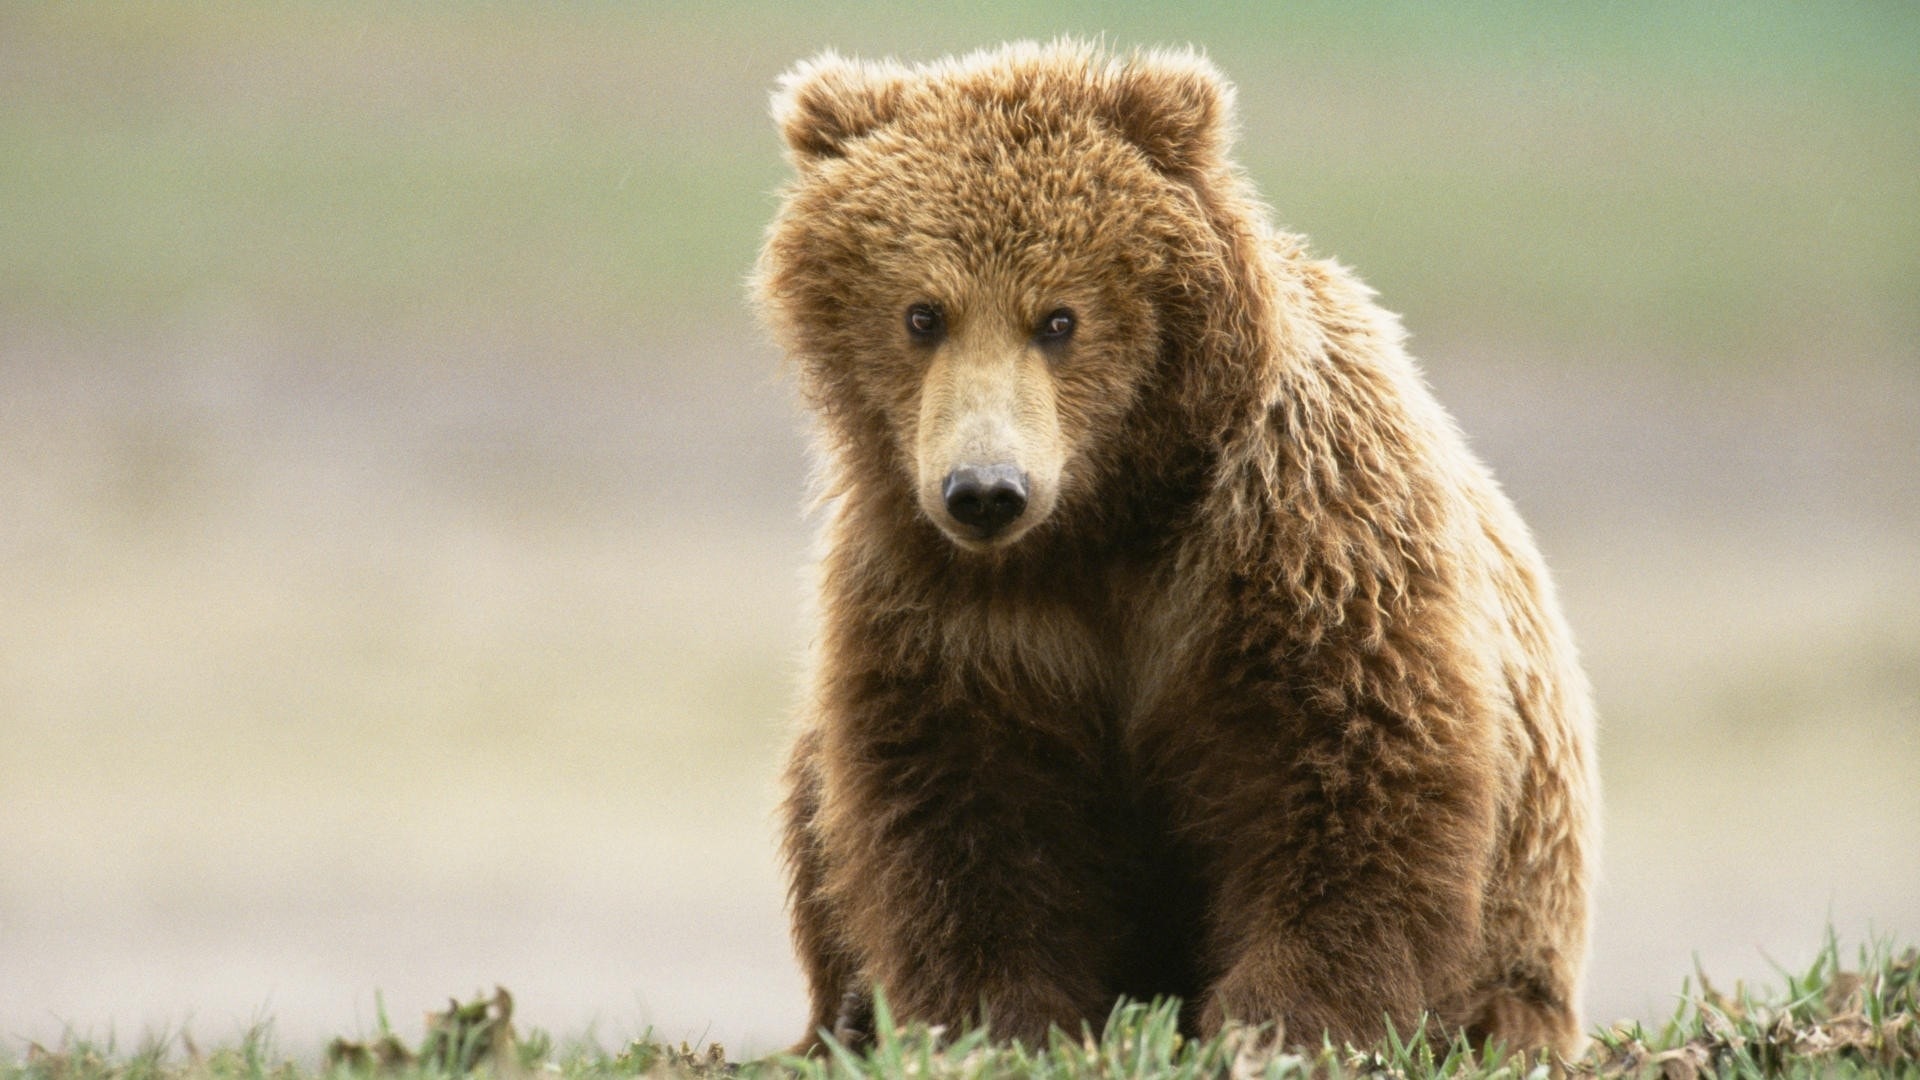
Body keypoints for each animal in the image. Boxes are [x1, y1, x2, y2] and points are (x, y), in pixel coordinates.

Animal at [751, 40, 1598, 1058]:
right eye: (923, 314)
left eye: (1059, 317)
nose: (986, 490)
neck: (1108, 516)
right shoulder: (951, 603)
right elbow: (960, 803)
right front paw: (999, 1017)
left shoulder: (1298, 534)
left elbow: (1350, 772)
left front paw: (1281, 1019)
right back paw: (841, 1013)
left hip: (1525, 949)